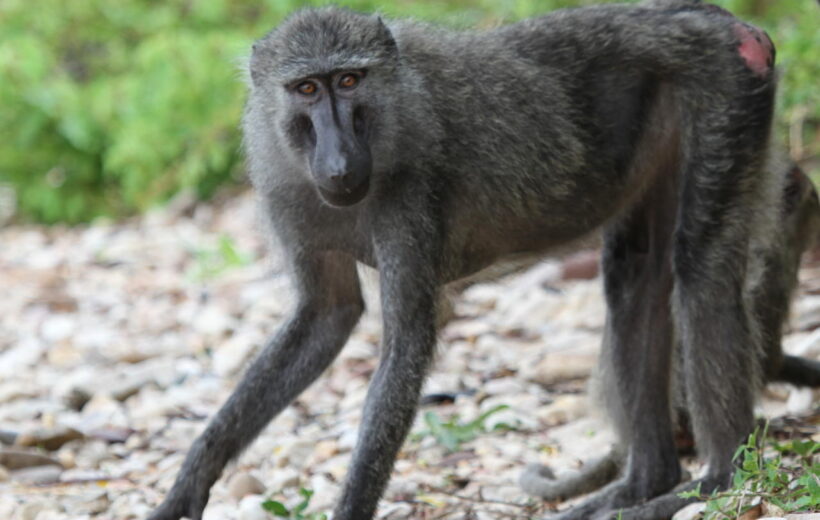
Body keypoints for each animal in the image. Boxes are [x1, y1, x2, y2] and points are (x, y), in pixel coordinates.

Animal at [148, 3, 785, 519]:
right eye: (306, 89)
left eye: (349, 81)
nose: (338, 160)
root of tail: (717, 18)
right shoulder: (290, 196)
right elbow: (327, 316)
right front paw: (190, 482)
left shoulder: (410, 195)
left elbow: (405, 343)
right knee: (637, 276)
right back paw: (641, 484)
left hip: (722, 87)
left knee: (701, 268)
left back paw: (714, 481)